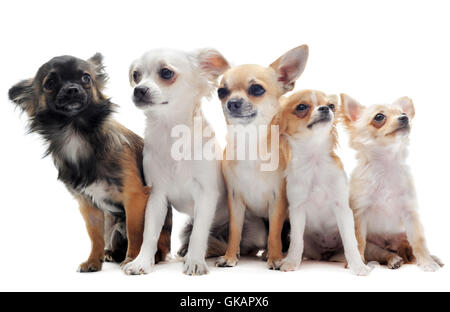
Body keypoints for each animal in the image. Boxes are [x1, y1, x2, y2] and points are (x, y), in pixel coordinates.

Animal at [10, 53, 174, 270]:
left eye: (86, 78)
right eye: (50, 83)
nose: (72, 88)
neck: (75, 133)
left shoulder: (134, 197)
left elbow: (135, 232)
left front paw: (132, 259)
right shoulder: (88, 205)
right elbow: (95, 236)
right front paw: (93, 261)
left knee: (159, 245)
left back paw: (150, 256)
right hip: (112, 223)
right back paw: (111, 253)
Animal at [215, 45, 308, 270]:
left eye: (257, 89)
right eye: (221, 92)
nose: (232, 103)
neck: (250, 143)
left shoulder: (278, 201)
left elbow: (274, 232)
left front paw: (275, 258)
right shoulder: (235, 200)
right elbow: (234, 231)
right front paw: (230, 256)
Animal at [276, 90, 370, 276]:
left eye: (331, 105)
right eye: (301, 107)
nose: (325, 108)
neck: (315, 160)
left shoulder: (342, 208)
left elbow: (350, 242)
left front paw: (358, 267)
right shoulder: (297, 209)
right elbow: (296, 241)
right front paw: (291, 262)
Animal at [342, 94, 442, 272]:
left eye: (404, 113)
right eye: (379, 117)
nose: (405, 118)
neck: (386, 166)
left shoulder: (411, 215)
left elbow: (419, 242)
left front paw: (427, 263)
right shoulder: (360, 214)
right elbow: (358, 241)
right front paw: (358, 263)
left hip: (404, 236)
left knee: (411, 251)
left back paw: (432, 258)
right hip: (373, 247)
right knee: (384, 254)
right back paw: (394, 260)